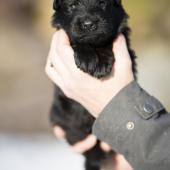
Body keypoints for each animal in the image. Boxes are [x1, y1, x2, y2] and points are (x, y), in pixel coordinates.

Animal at [50, 0, 137, 169]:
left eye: (102, 4)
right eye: (72, 6)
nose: (88, 24)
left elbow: (106, 42)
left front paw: (102, 62)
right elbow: (77, 41)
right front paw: (87, 58)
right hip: (64, 117)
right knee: (82, 140)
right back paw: (96, 156)